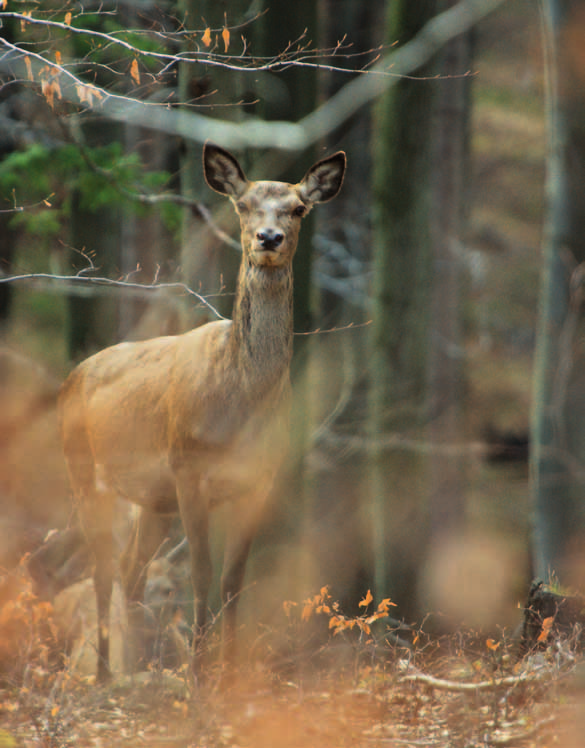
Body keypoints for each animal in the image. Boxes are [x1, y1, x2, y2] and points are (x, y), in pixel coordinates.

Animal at [57, 142, 344, 684]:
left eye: (298, 208)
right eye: (243, 205)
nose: (268, 238)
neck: (241, 400)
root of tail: (72, 375)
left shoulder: (259, 477)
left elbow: (234, 577)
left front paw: (227, 675)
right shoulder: (188, 467)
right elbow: (202, 571)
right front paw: (198, 674)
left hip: (152, 500)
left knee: (130, 568)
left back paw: (140, 669)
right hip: (85, 471)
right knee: (101, 569)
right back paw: (105, 674)